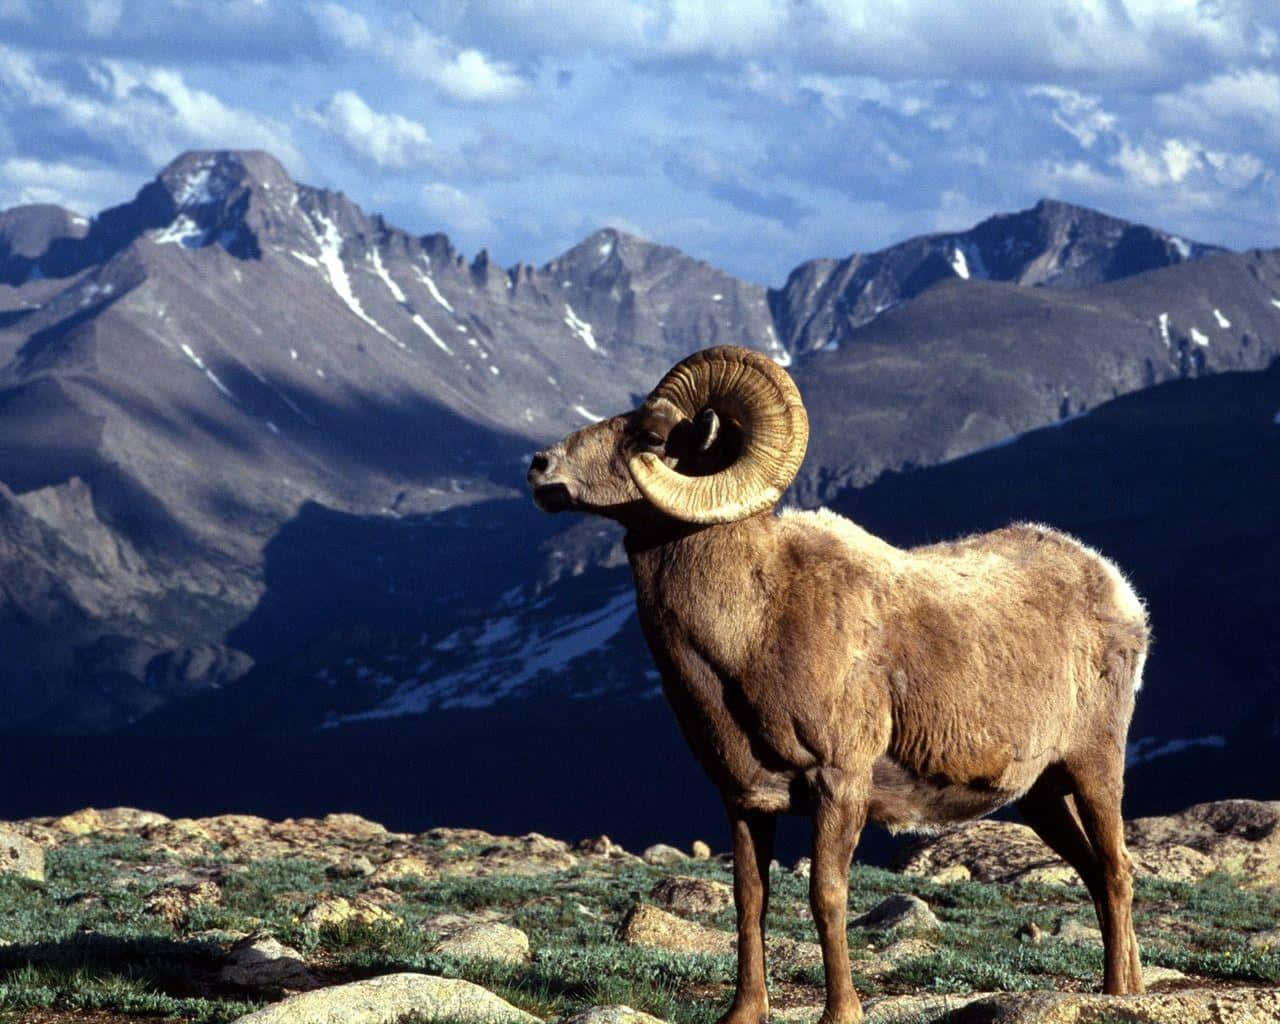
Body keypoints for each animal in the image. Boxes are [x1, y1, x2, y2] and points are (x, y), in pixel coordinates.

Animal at [527, 345, 1148, 1024]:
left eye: (650, 433)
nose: (540, 467)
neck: (753, 628)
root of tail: (1117, 590)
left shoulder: (839, 784)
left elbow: (827, 897)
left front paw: (841, 1011)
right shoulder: (745, 800)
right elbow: (749, 901)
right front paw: (745, 1012)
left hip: (1093, 767)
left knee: (1116, 870)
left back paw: (1120, 993)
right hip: (1041, 796)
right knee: (1095, 872)